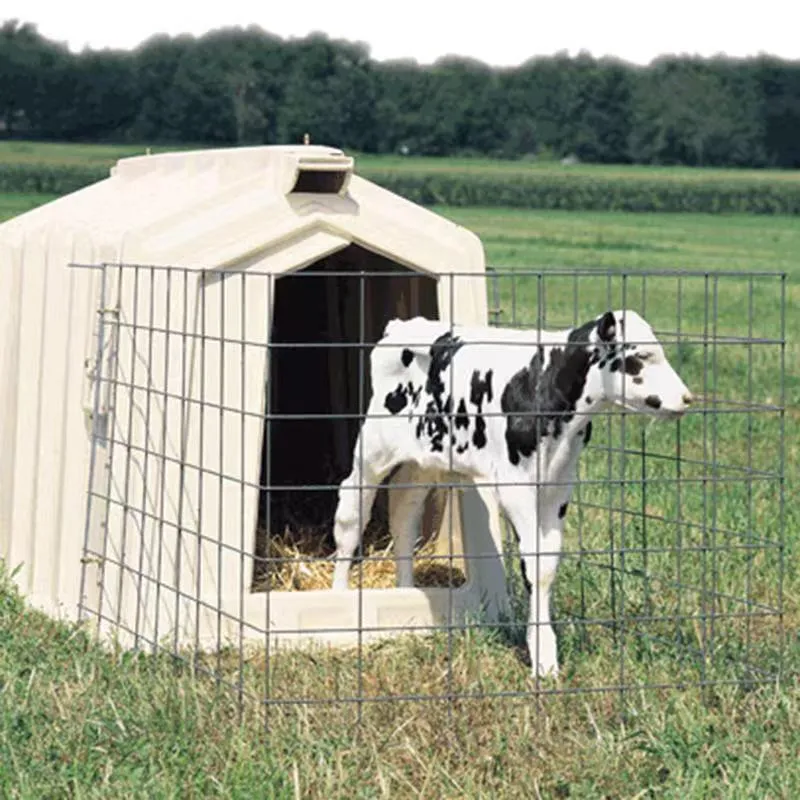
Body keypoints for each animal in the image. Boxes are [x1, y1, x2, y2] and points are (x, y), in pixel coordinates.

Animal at [330, 310, 693, 677]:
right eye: (641, 356)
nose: (687, 398)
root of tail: (404, 325)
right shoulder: (516, 486)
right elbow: (533, 564)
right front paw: (541, 656)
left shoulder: (557, 487)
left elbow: (547, 565)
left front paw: (544, 652)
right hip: (372, 449)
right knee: (351, 515)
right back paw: (340, 598)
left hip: (425, 459)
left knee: (404, 513)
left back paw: (405, 591)